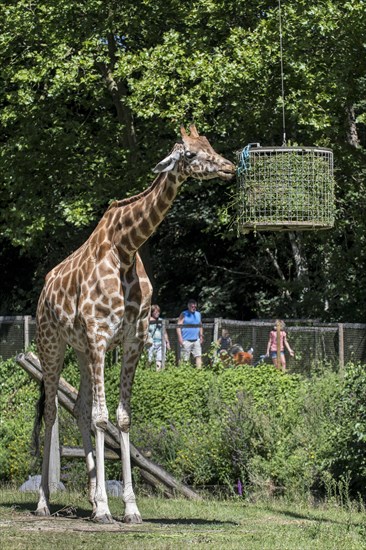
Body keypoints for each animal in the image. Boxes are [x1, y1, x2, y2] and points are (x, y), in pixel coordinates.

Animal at [33, 125, 236, 528]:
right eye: (190, 154)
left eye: (208, 145)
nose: (229, 167)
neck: (125, 248)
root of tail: (45, 288)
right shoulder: (99, 338)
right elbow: (102, 418)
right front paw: (106, 508)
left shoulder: (132, 341)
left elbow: (121, 419)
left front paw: (128, 507)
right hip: (52, 345)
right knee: (53, 412)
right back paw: (45, 502)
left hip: (81, 352)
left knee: (78, 408)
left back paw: (90, 498)